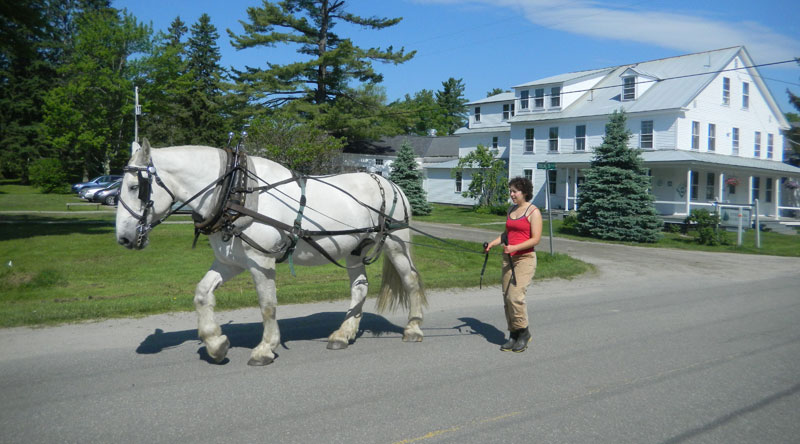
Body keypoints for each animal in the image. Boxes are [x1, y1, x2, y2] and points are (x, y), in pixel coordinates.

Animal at [116, 140, 428, 366]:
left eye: (134, 187)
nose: (124, 237)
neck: (236, 190)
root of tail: (390, 183)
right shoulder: (230, 261)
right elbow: (202, 294)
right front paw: (216, 344)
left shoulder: (261, 260)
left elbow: (268, 305)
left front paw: (265, 348)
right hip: (353, 249)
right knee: (360, 288)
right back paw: (343, 334)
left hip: (396, 243)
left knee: (411, 280)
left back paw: (413, 329)